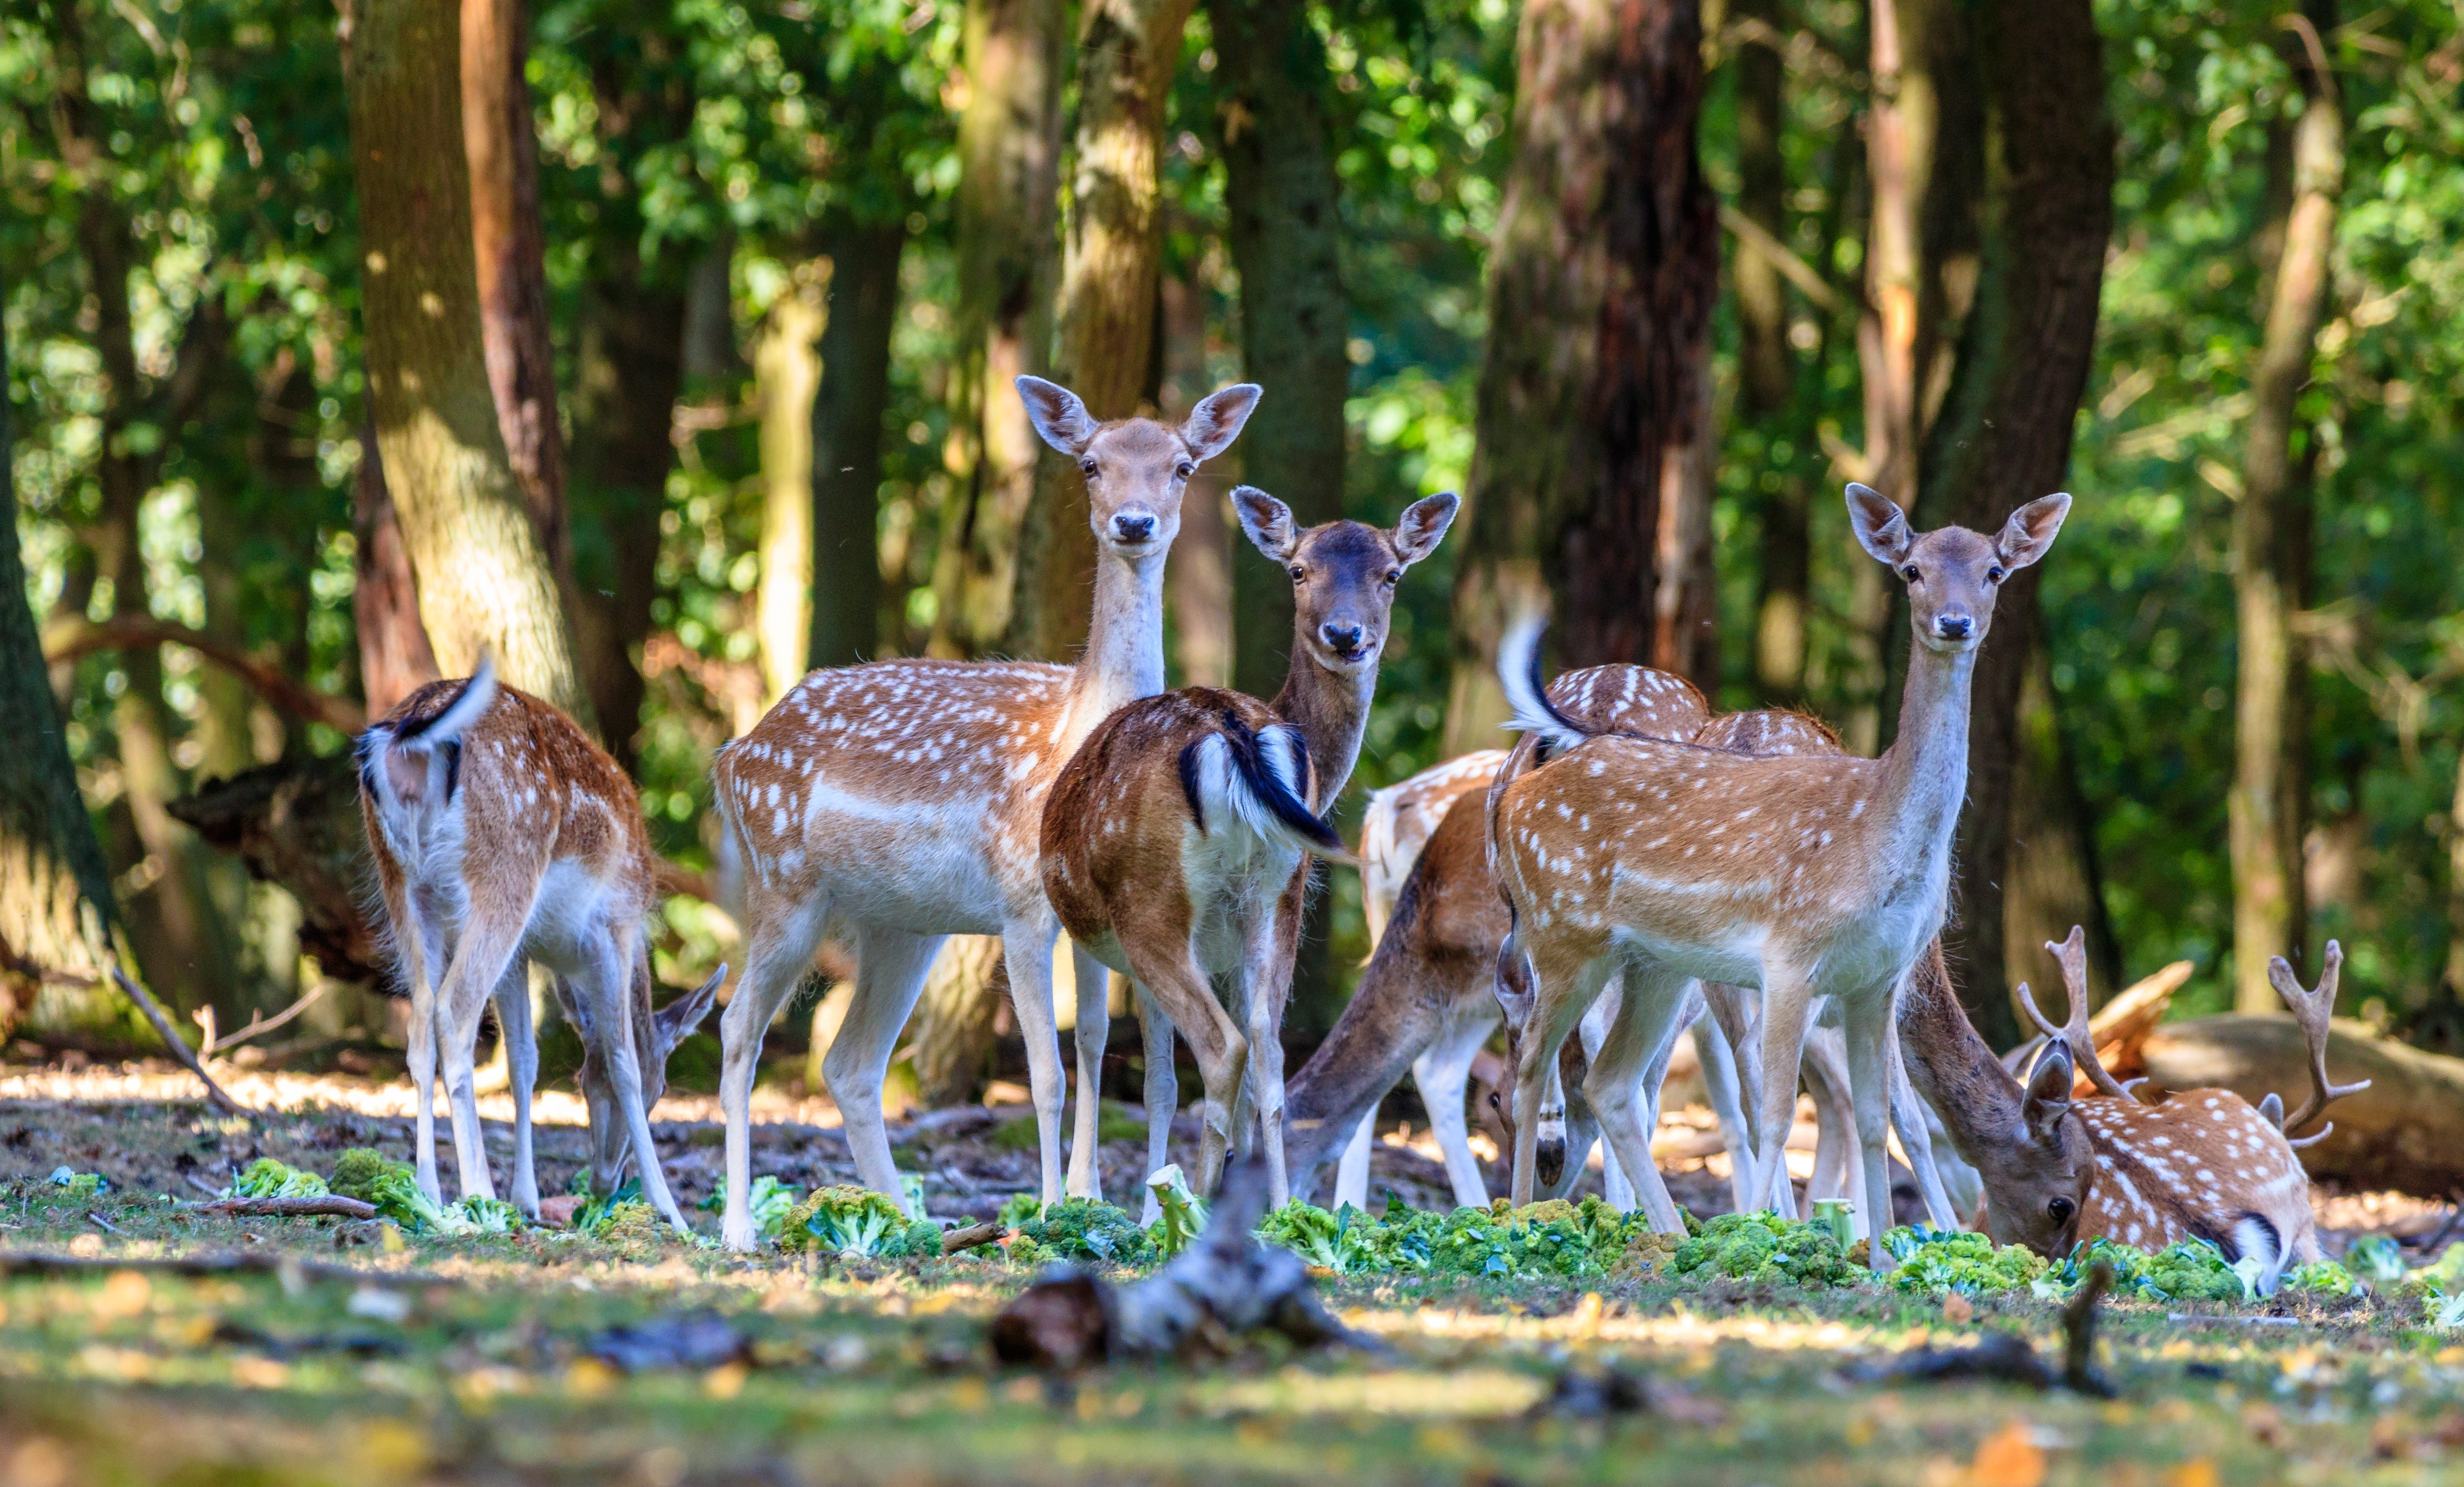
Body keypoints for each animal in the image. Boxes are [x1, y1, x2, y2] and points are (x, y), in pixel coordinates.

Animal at [357, 660, 725, 1230]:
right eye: (661, 1088)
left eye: (578, 1079)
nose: (606, 1181)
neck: (561, 955)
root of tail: (409, 738)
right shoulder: (614, 926)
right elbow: (623, 1055)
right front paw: (671, 1211)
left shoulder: (522, 953)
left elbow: (524, 1060)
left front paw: (527, 1198)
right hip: (505, 869)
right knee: (454, 1011)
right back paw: (477, 1192)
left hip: (401, 881)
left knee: (420, 1020)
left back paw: (426, 1192)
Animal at [709, 377, 1259, 1249]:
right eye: (1090, 463)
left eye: (1182, 465)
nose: (1134, 522)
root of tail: (733, 753)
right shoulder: (1020, 903)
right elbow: (1046, 1072)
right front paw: (1048, 1211)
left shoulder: (1084, 914)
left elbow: (1095, 1046)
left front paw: (1088, 1201)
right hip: (782, 885)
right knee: (738, 1030)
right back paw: (739, 1228)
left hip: (902, 924)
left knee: (850, 1063)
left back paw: (906, 1223)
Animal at [1041, 486, 1458, 1206]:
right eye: (1299, 570)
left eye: (1391, 574)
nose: (1345, 635)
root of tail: (1233, 732)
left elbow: (1140, 1072)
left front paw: (1128, 1203)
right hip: (1277, 892)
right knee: (1268, 1046)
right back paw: (1281, 1207)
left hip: (1149, 902)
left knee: (1223, 1047)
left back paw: (1196, 1200)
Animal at [1488, 483, 2071, 1263]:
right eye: (1911, 569)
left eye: (1994, 571)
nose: (1954, 622)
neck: (1876, 835)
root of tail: (1519, 793)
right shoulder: (1790, 958)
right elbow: (1778, 1115)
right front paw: (1770, 1240)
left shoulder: (1876, 980)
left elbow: (1877, 1121)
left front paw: (1879, 1260)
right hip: (1562, 936)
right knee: (1529, 1074)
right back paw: (1521, 1225)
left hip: (1654, 966)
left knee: (1611, 1083)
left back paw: (1669, 1237)